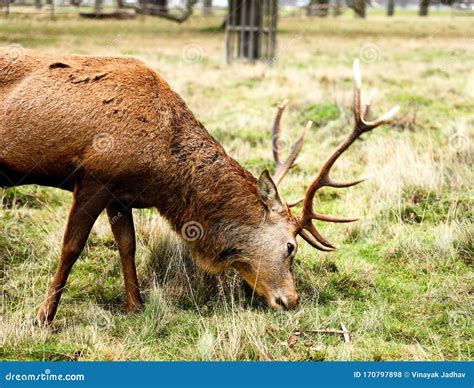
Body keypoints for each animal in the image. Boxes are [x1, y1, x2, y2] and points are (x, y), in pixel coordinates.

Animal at [0, 47, 400, 324]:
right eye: (291, 246)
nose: (290, 300)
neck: (161, 171)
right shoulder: (93, 175)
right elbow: (71, 247)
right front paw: (44, 317)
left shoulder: (120, 192)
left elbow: (128, 246)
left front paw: (136, 307)